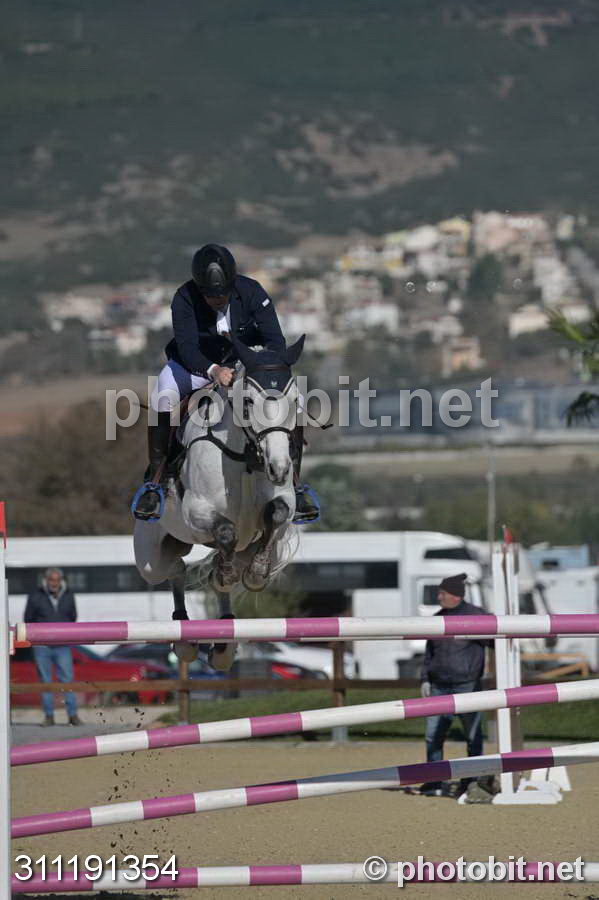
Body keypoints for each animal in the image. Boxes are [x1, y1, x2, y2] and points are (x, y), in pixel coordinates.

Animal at [133, 336, 305, 667]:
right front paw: (227, 574)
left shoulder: (282, 504)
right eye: (248, 402)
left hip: (251, 549)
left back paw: (223, 644)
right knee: (174, 569)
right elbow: (225, 530)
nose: (279, 469)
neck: (245, 453)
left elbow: (277, 513)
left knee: (210, 570)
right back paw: (186, 640)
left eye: (295, 402)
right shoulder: (197, 511)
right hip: (150, 557)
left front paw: (255, 574)